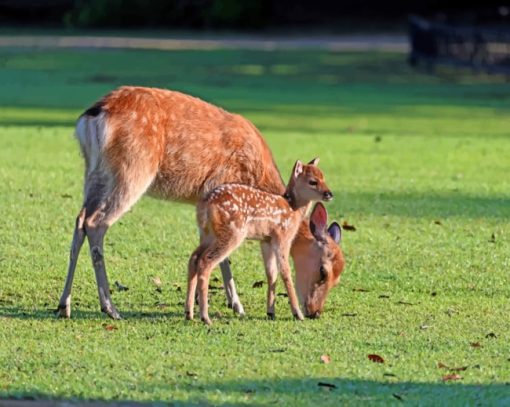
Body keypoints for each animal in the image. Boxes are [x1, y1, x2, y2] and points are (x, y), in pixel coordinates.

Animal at [57, 87, 346, 322]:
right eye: (323, 271)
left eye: (339, 277)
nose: (315, 312)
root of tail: (92, 116)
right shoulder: (219, 191)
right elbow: (225, 257)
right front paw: (235, 305)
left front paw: (202, 302)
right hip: (132, 169)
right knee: (97, 223)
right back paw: (110, 308)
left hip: (94, 172)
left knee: (80, 220)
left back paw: (64, 306)